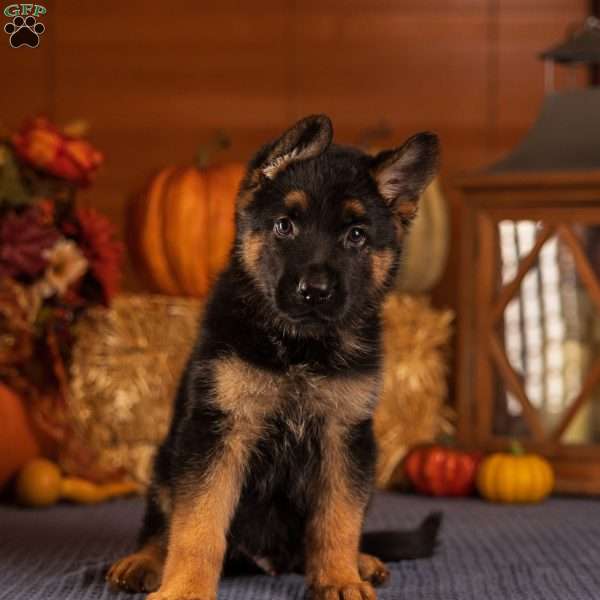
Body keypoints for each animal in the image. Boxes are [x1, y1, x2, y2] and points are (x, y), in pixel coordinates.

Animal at [106, 113, 440, 600]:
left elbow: (338, 519)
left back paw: (361, 561)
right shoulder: (219, 430)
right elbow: (197, 525)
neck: (299, 349)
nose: (314, 292)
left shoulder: (344, 436)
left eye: (356, 235)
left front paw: (340, 578)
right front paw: (185, 588)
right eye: (285, 226)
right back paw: (144, 562)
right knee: (160, 524)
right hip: (168, 459)